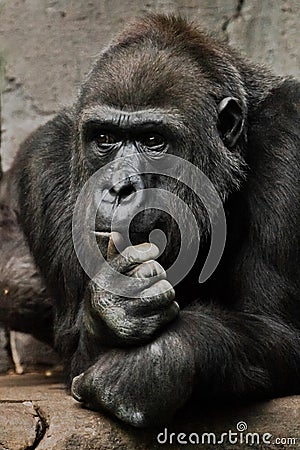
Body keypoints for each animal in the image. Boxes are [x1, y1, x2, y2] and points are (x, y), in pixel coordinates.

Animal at [3, 14, 300, 428]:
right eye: (104, 138)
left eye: (153, 140)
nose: (118, 187)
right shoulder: (42, 163)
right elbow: (78, 351)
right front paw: (115, 305)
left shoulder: (288, 137)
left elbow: (276, 328)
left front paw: (157, 363)